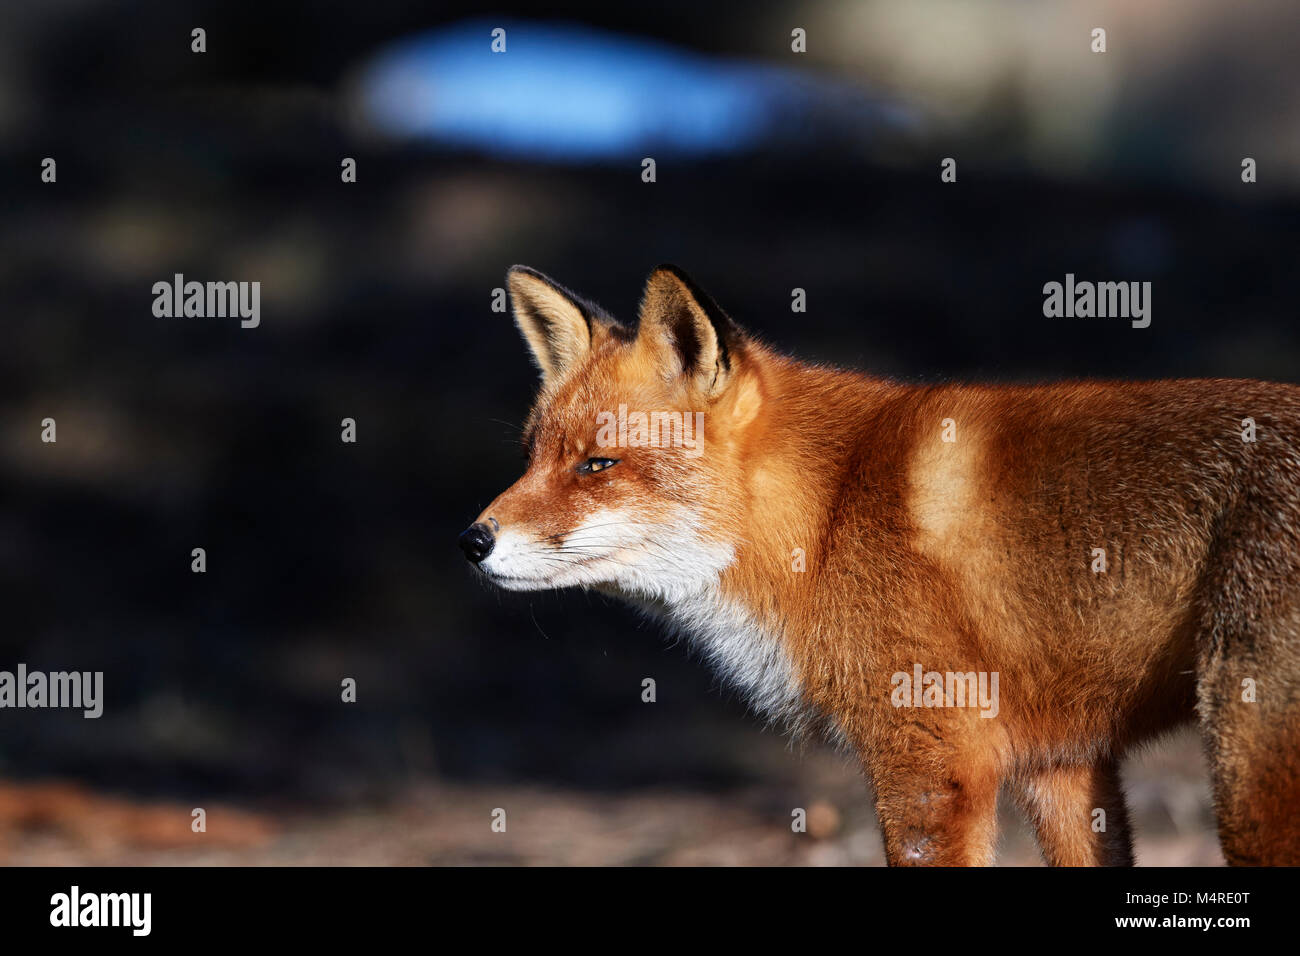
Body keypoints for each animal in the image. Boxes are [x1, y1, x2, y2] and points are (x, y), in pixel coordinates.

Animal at [459, 263, 1300, 866]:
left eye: (598, 465)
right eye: (533, 457)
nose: (472, 540)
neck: (822, 521)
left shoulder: (932, 758)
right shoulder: (1062, 764)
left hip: (1246, 775)